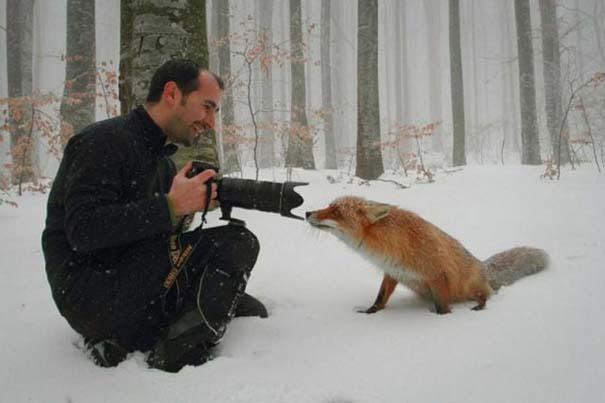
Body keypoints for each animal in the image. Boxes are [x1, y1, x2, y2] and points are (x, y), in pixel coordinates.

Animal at [306, 196, 548, 316]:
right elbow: (380, 298)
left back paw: (479, 307)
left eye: (336, 212)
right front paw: (370, 313)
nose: (307, 212)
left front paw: (441, 320)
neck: (392, 244)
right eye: (329, 206)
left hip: (471, 286)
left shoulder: (438, 275)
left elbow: (442, 307)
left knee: (485, 295)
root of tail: (484, 267)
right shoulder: (392, 272)